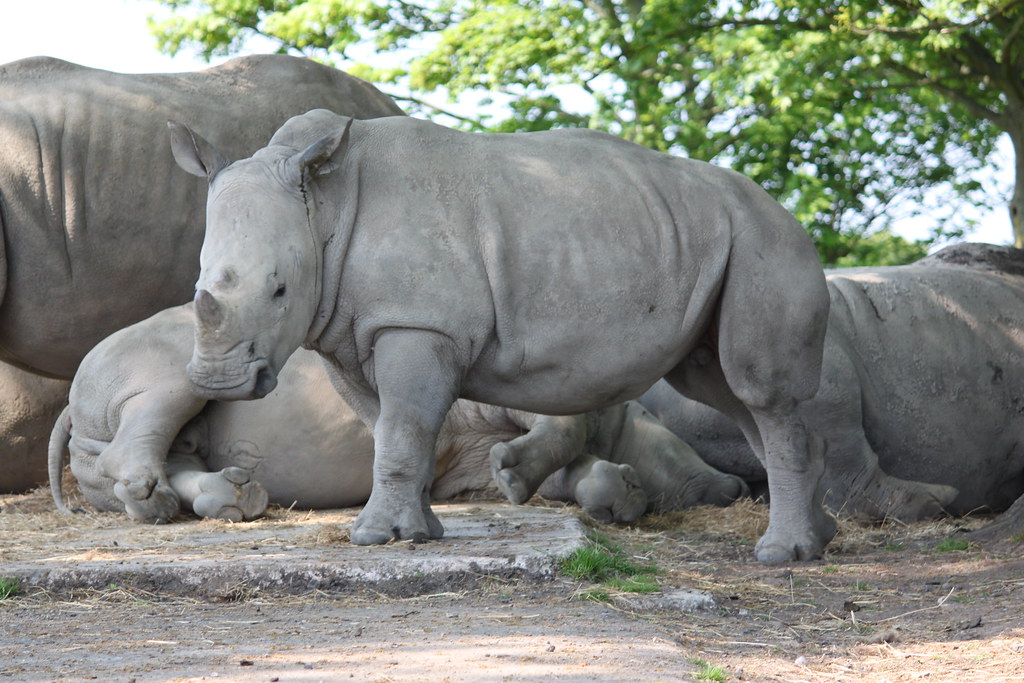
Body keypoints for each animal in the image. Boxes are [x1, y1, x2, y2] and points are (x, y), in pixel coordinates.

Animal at [49, 304, 748, 523]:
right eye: (672, 438)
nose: (736, 486)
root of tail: (69, 402)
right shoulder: (491, 392)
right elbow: (560, 431)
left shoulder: (466, 466)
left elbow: (554, 472)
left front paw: (607, 495)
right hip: (160, 364)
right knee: (152, 422)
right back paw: (165, 499)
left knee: (176, 451)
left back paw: (237, 499)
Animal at [171, 108, 832, 562]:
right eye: (198, 280)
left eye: (280, 290)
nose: (217, 382)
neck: (323, 209)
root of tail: (786, 213)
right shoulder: (348, 332)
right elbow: (392, 430)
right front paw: (421, 533)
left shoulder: (415, 322)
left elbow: (405, 430)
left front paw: (375, 538)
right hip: (721, 239)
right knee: (727, 390)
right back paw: (819, 540)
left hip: (764, 239)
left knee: (757, 391)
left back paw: (781, 555)